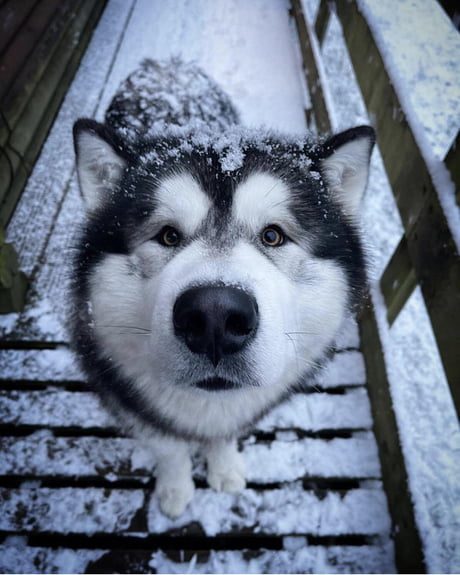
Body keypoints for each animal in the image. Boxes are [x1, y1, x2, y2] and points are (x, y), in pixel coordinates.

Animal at [71, 60, 374, 520]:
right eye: (167, 236)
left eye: (272, 236)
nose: (214, 317)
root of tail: (166, 66)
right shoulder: (128, 399)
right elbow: (170, 449)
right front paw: (175, 489)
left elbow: (227, 434)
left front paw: (225, 468)